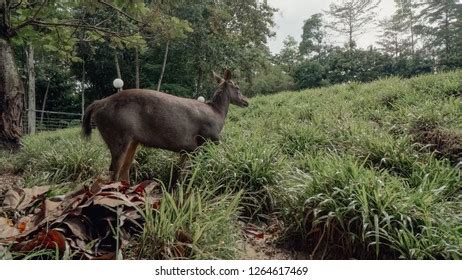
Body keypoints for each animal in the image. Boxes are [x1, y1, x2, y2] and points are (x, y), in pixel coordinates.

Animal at [83, 69, 249, 180]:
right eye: (237, 87)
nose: (246, 101)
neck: (218, 113)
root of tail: (98, 104)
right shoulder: (209, 139)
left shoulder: (188, 149)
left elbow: (181, 172)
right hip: (117, 135)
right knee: (114, 170)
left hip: (132, 140)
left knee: (125, 169)